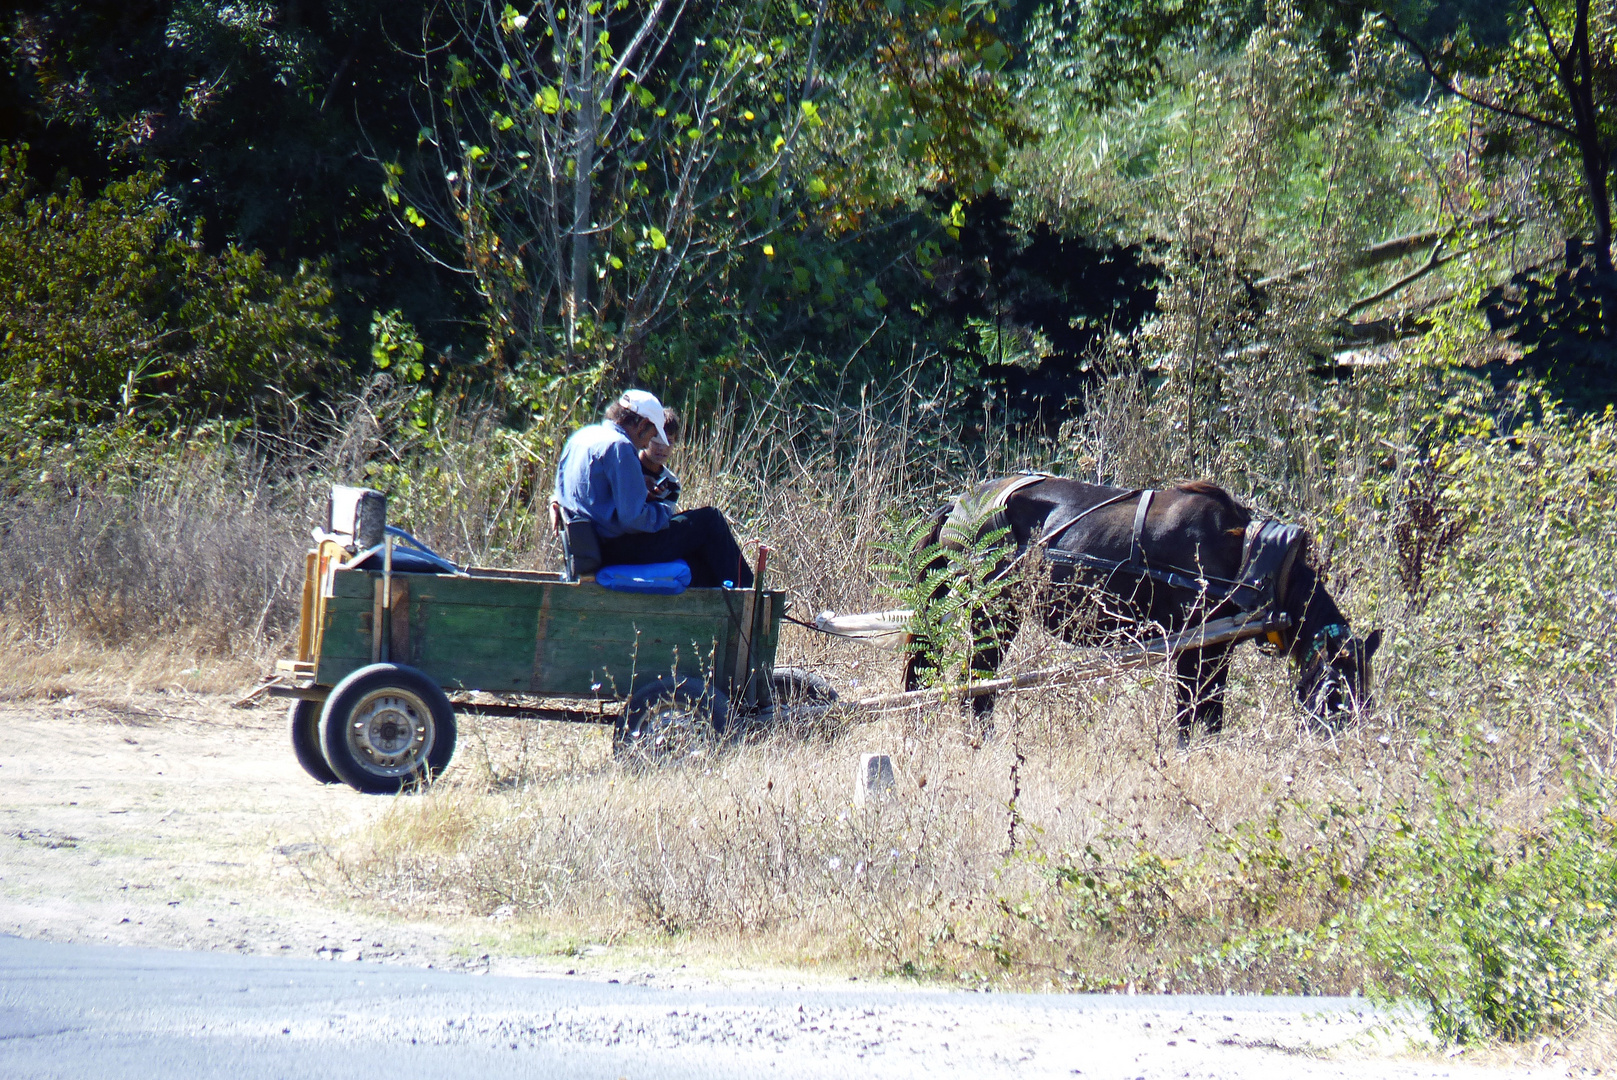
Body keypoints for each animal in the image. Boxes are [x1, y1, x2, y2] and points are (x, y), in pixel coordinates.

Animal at [905, 475, 1384, 737]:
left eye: (1366, 693)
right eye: (1336, 688)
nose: (1342, 745)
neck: (1250, 557)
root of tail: (959, 505)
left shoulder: (1217, 649)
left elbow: (1210, 714)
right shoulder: (1195, 647)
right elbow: (1193, 714)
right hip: (994, 611)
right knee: (976, 683)